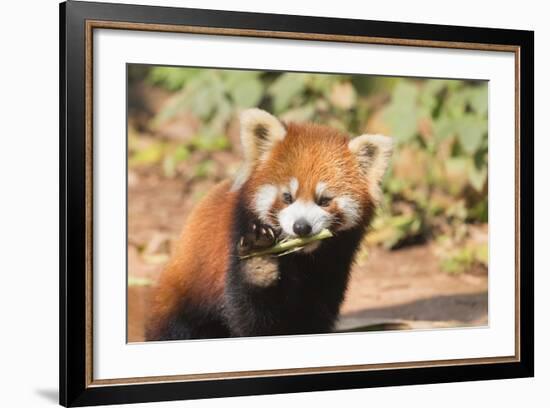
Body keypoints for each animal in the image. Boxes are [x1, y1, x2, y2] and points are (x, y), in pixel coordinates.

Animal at [148, 107, 392, 340]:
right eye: (287, 197)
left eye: (324, 200)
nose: (301, 227)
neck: (301, 259)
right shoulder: (236, 240)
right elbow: (251, 317)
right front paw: (260, 264)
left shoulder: (333, 265)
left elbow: (315, 313)